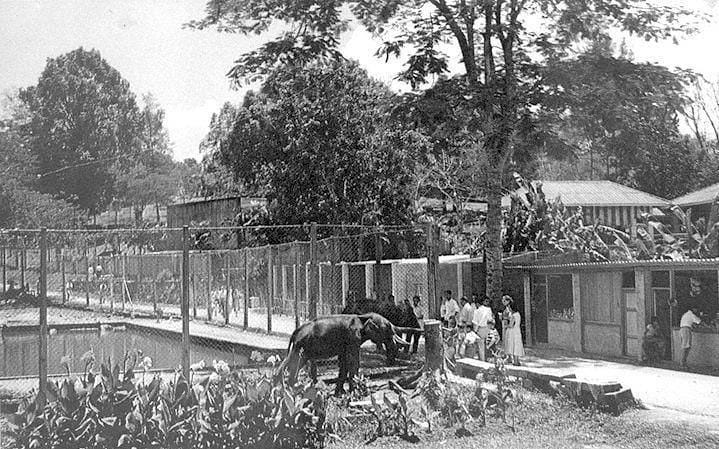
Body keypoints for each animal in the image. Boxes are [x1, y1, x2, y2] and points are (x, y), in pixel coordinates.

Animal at [272, 314, 414, 394]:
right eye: (389, 328)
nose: (391, 360)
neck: (363, 317)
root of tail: (295, 332)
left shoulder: (346, 343)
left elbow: (344, 362)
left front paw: (340, 393)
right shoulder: (353, 338)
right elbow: (353, 361)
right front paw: (354, 392)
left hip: (300, 348)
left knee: (289, 362)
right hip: (301, 347)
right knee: (294, 364)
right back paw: (291, 390)